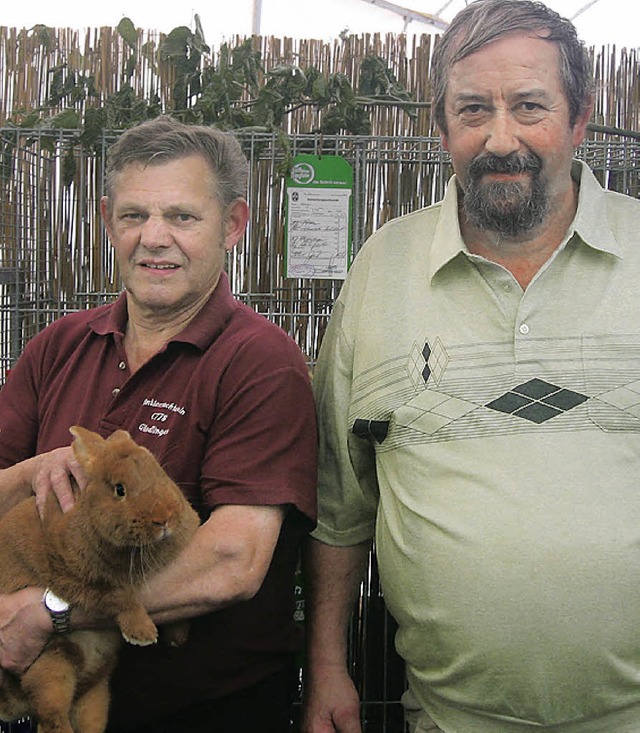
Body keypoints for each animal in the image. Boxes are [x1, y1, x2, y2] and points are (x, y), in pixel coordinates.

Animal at [0, 426, 200, 728]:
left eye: (160, 471)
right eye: (120, 489)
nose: (164, 518)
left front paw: (178, 637)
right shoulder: (78, 580)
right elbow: (120, 598)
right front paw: (143, 634)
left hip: (94, 694)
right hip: (50, 665)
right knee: (52, 717)